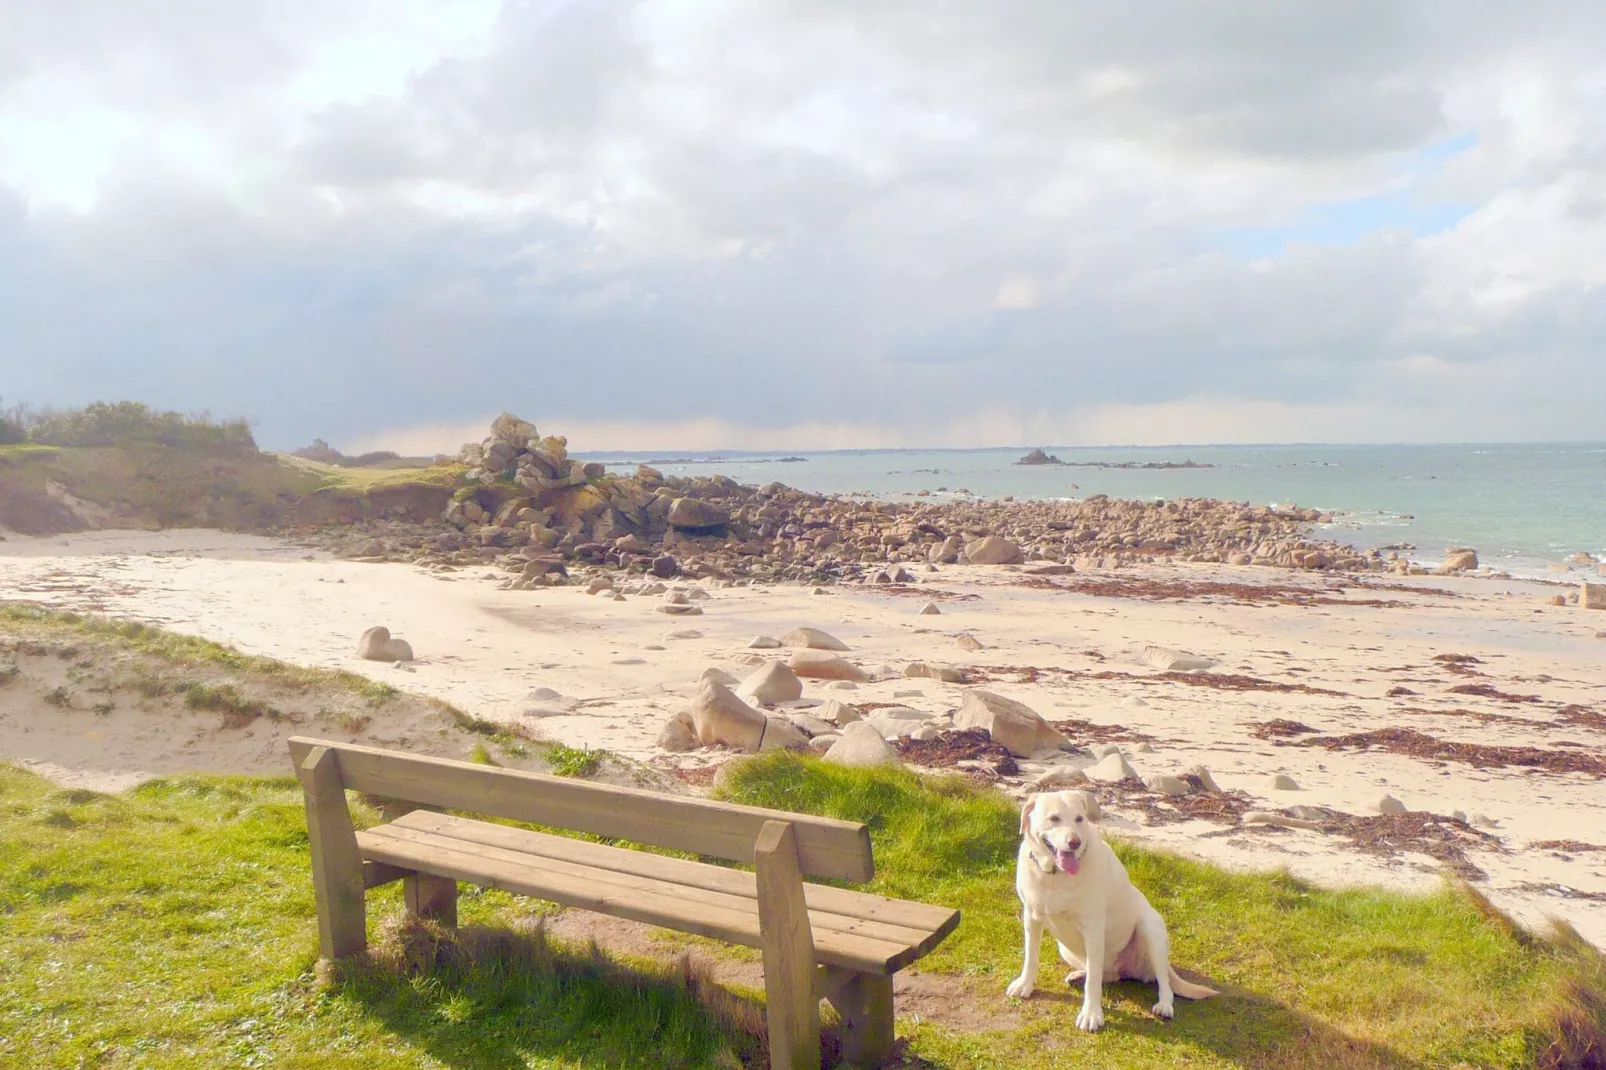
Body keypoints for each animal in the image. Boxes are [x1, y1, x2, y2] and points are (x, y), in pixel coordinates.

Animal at [1002, 787, 1214, 1028]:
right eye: (1054, 818)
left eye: (1079, 819)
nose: (1074, 842)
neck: (1055, 876)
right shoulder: (1031, 917)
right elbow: (1031, 956)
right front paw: (1025, 984)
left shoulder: (1093, 928)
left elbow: (1094, 981)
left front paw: (1092, 1013)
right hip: (1065, 948)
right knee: (1108, 975)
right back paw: (1079, 975)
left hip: (1151, 927)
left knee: (1163, 981)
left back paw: (1164, 1006)